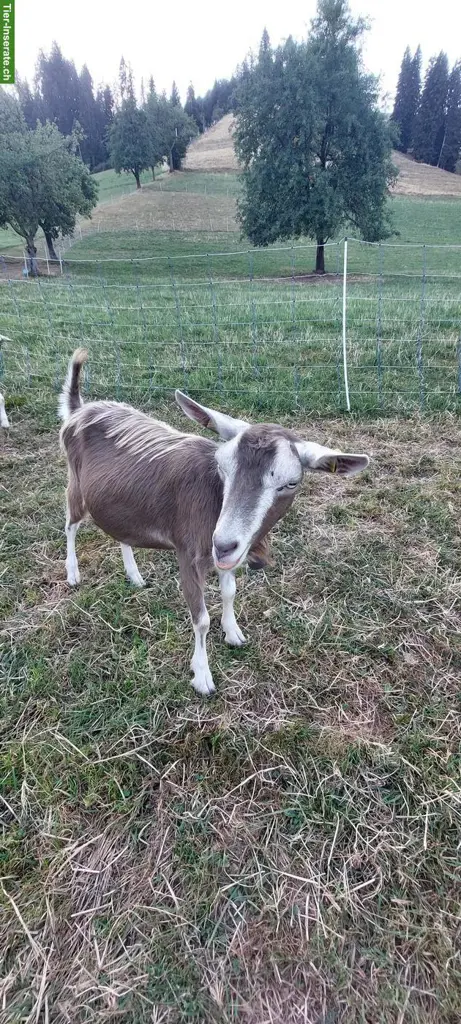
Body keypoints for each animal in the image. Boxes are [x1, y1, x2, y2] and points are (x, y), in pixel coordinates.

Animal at [59, 349, 370, 695]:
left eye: (290, 483)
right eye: (221, 467)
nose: (221, 544)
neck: (212, 499)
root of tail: (79, 409)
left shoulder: (231, 555)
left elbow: (230, 591)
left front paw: (233, 633)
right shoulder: (187, 553)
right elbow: (201, 618)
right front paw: (203, 676)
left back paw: (135, 576)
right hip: (76, 486)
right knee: (70, 524)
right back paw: (73, 574)